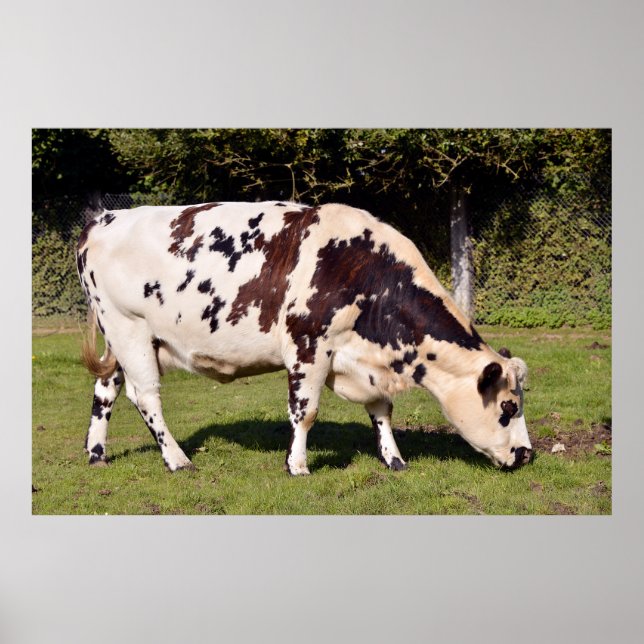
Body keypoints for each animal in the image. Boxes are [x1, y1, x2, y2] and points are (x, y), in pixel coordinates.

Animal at [77, 201, 532, 475]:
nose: (527, 453)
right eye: (508, 407)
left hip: (119, 340)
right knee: (145, 396)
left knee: (105, 389)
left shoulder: (364, 361)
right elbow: (305, 411)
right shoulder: (308, 345)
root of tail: (103, 219)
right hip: (129, 329)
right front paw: (297, 465)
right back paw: (176, 459)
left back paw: (97, 454)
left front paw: (394, 459)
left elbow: (382, 410)